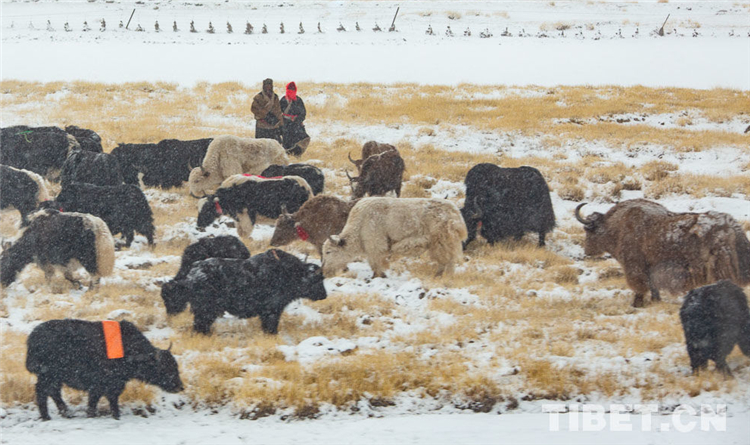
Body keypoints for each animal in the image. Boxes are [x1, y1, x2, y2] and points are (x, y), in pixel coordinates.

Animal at [25, 318, 184, 418]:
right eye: (164, 368)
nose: (180, 387)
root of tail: (32, 337)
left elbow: (101, 400)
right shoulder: (105, 384)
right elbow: (104, 399)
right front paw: (113, 415)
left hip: (53, 377)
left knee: (53, 392)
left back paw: (66, 413)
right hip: (48, 375)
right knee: (43, 392)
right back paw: (48, 416)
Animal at [163, 250, 328, 332]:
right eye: (317, 279)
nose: (324, 295)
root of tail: (191, 275)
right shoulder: (271, 311)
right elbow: (271, 326)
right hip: (206, 310)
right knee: (200, 324)